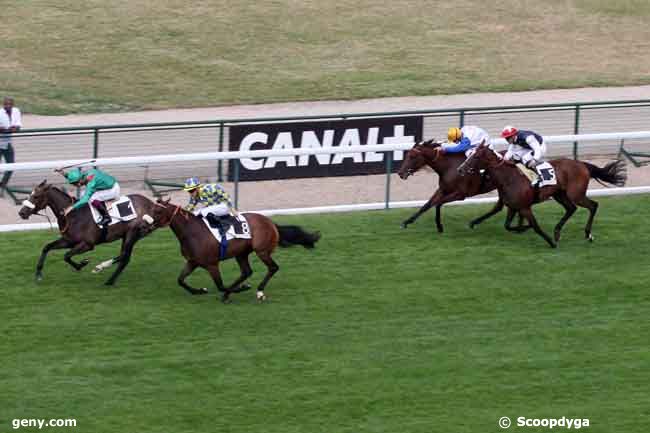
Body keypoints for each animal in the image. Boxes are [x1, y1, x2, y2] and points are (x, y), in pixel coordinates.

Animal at [18, 181, 158, 286]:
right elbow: (47, 247)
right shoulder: (69, 241)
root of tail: (152, 204)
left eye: (36, 196)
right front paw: (38, 273)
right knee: (125, 257)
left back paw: (106, 276)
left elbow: (66, 255)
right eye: (30, 194)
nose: (22, 213)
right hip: (130, 235)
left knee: (124, 257)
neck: (72, 215)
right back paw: (104, 272)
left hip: (132, 233)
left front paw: (81, 264)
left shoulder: (87, 244)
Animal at [147, 200, 318, 304]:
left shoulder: (211, 264)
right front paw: (200, 291)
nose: (145, 223)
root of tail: (270, 222)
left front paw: (242, 288)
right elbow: (180, 280)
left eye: (158, 211)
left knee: (273, 268)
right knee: (247, 272)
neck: (192, 231)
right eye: (152, 209)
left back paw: (259, 292)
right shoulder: (193, 262)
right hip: (241, 253)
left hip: (261, 251)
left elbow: (220, 285)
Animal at [456, 144, 624, 246]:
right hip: (560, 195)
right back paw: (557, 232)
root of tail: (582, 164)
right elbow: (507, 225)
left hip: (576, 194)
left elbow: (534, 226)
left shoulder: (524, 207)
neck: (509, 178)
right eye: (470, 155)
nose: (460, 169)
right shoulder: (512, 205)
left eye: (476, 156)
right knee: (571, 209)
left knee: (593, 206)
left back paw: (588, 234)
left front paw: (548, 241)